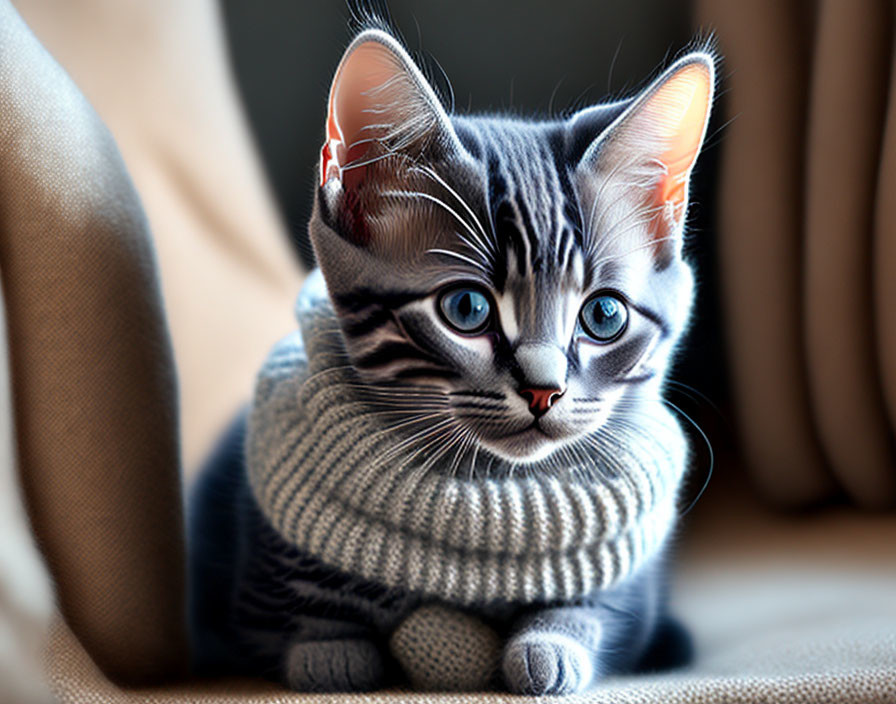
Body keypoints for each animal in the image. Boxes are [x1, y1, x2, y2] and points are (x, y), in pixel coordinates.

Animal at [189, 17, 712, 700]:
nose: (544, 389)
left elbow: (600, 609)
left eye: (604, 316)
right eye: (466, 308)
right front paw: (333, 651)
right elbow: (292, 610)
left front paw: (551, 643)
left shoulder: (630, 586)